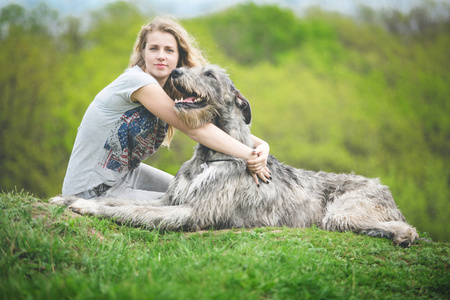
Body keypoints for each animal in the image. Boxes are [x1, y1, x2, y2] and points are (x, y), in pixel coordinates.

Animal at [51, 63, 418, 246]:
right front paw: (71, 199)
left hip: (343, 212)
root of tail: (384, 187)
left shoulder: (193, 213)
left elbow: (133, 211)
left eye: (210, 74)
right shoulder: (171, 200)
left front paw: (87, 205)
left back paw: (403, 235)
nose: (176, 72)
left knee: (385, 225)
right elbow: (121, 201)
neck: (212, 155)